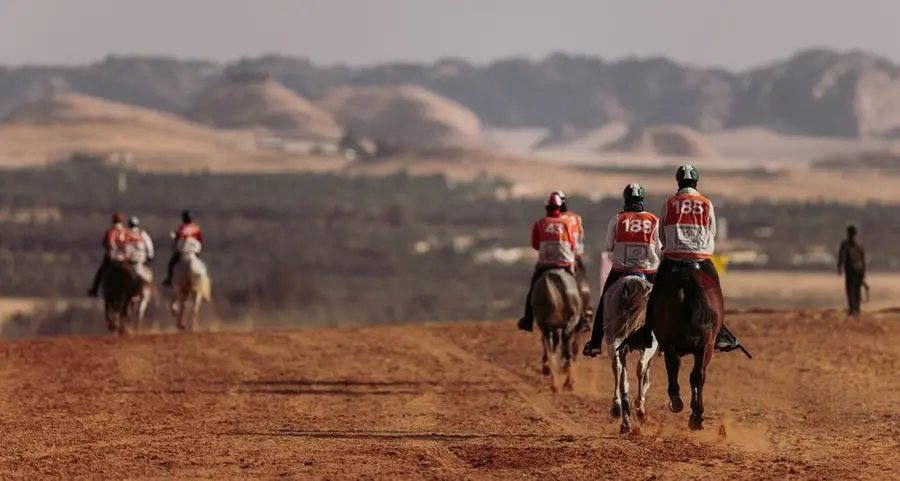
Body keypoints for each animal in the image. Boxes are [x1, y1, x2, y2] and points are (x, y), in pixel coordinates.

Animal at [600, 272, 656, 434]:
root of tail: (633, 283)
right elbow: (645, 380)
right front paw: (638, 406)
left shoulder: (623, 351)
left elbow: (624, 383)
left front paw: (625, 423)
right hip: (650, 344)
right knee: (640, 367)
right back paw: (640, 411)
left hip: (613, 339)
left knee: (616, 366)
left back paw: (616, 407)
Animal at [648, 258, 724, 432]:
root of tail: (689, 279)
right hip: (706, 346)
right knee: (697, 375)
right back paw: (696, 416)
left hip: (673, 343)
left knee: (675, 366)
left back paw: (678, 403)